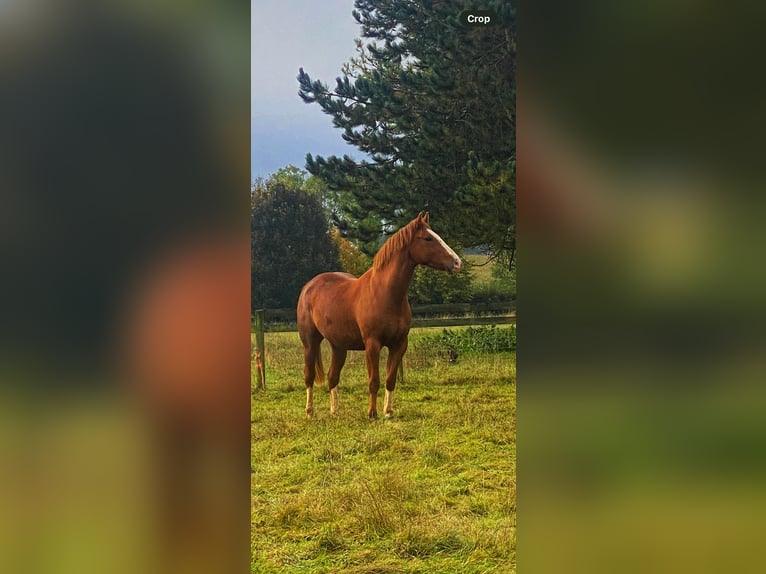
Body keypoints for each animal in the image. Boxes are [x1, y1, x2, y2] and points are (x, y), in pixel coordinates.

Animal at [296, 214, 462, 420]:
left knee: (332, 376)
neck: (385, 293)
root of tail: (309, 286)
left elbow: (390, 379)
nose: (457, 262)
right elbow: (374, 380)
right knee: (309, 375)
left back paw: (335, 411)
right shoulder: (372, 344)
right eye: (428, 238)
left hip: (339, 346)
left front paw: (388, 412)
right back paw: (310, 411)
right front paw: (372, 413)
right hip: (310, 343)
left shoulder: (399, 344)